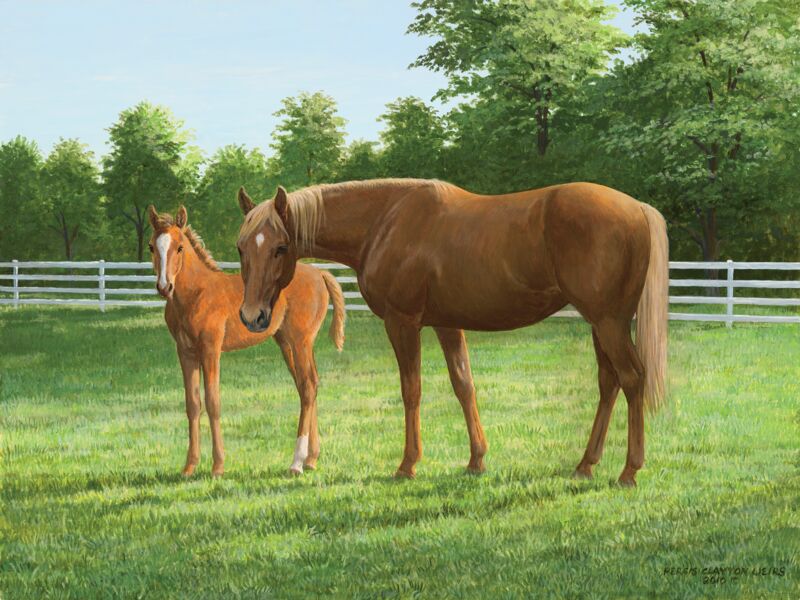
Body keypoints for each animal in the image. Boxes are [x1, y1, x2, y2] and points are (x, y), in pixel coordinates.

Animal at [147, 204, 346, 477]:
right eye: (151, 247)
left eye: (179, 247)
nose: (164, 287)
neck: (196, 294)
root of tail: (320, 273)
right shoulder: (185, 352)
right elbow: (193, 404)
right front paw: (189, 467)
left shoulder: (210, 349)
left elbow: (213, 401)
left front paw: (218, 466)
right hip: (286, 343)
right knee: (309, 384)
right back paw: (311, 459)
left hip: (300, 341)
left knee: (307, 387)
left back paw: (296, 463)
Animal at [235, 179, 668, 486]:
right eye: (241, 247)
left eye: (280, 247)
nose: (253, 316)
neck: (384, 221)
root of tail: (638, 208)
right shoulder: (447, 323)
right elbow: (464, 385)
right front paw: (476, 460)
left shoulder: (403, 323)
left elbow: (411, 391)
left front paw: (407, 465)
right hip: (601, 323)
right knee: (609, 382)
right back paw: (585, 465)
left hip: (609, 322)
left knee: (632, 378)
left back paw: (629, 471)